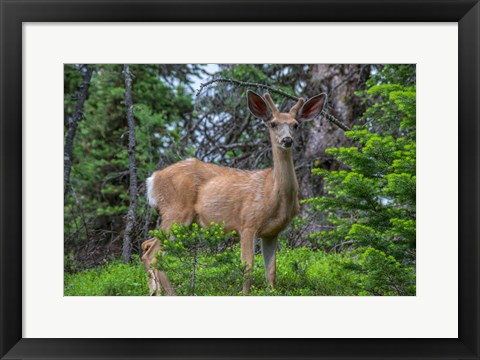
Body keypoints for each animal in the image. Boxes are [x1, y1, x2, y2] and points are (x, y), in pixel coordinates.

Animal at [140, 90, 326, 296]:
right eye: (273, 123)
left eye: (295, 124)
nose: (287, 140)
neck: (273, 193)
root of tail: (153, 179)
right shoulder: (247, 223)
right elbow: (248, 267)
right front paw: (245, 294)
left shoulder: (272, 232)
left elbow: (271, 271)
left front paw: (271, 291)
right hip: (176, 211)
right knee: (152, 254)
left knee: (148, 245)